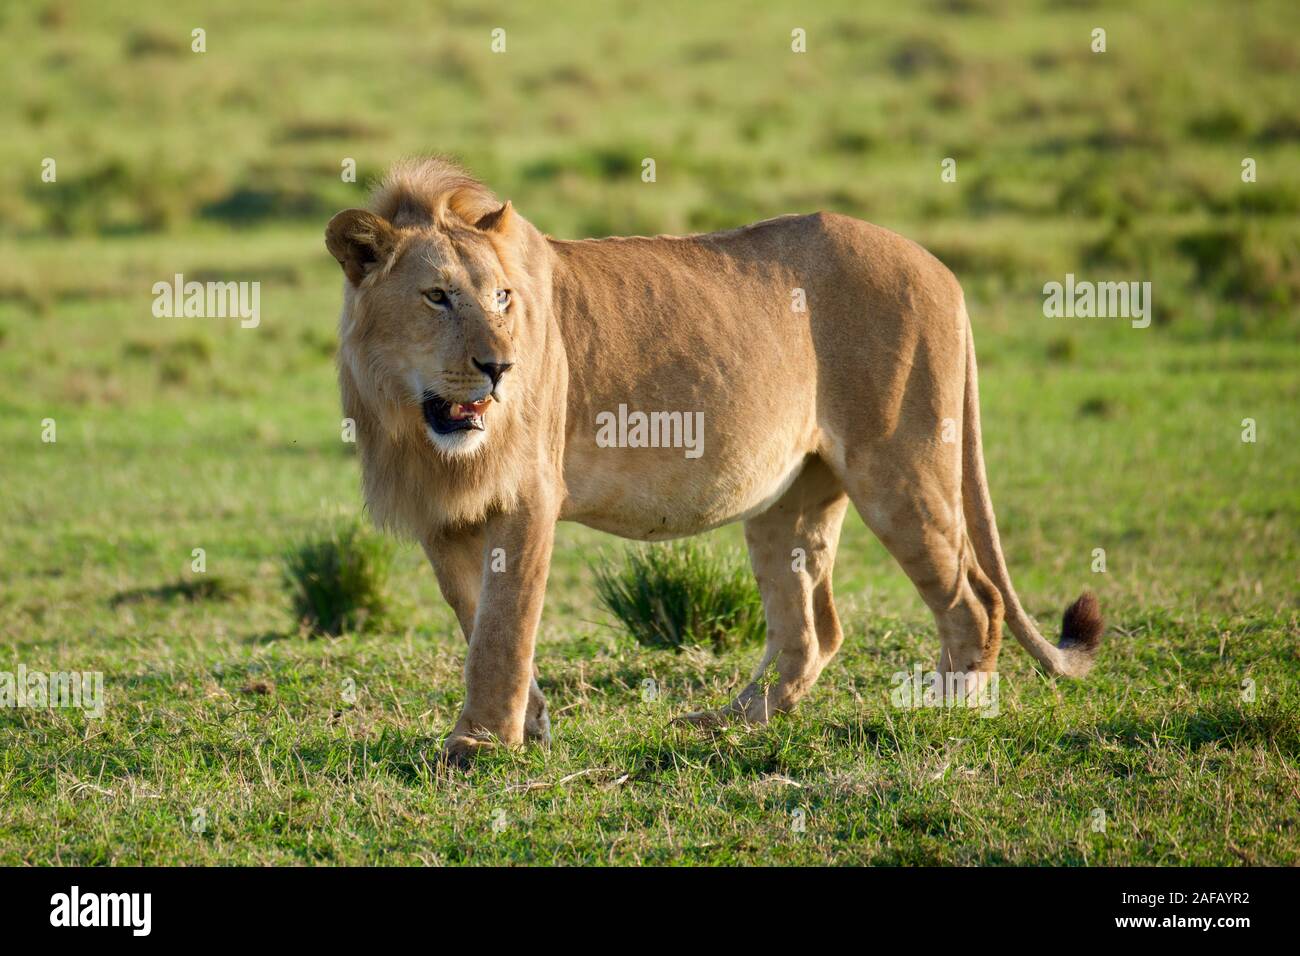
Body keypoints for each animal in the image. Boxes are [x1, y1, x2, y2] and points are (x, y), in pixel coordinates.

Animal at [326, 157, 1103, 764]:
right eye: (437, 296)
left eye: (502, 297)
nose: (500, 367)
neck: (420, 430)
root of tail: (940, 269)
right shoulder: (442, 521)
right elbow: (475, 621)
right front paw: (530, 723)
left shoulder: (528, 496)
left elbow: (503, 628)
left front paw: (480, 745)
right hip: (791, 496)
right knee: (813, 628)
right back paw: (728, 724)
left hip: (901, 469)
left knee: (975, 598)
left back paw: (948, 709)